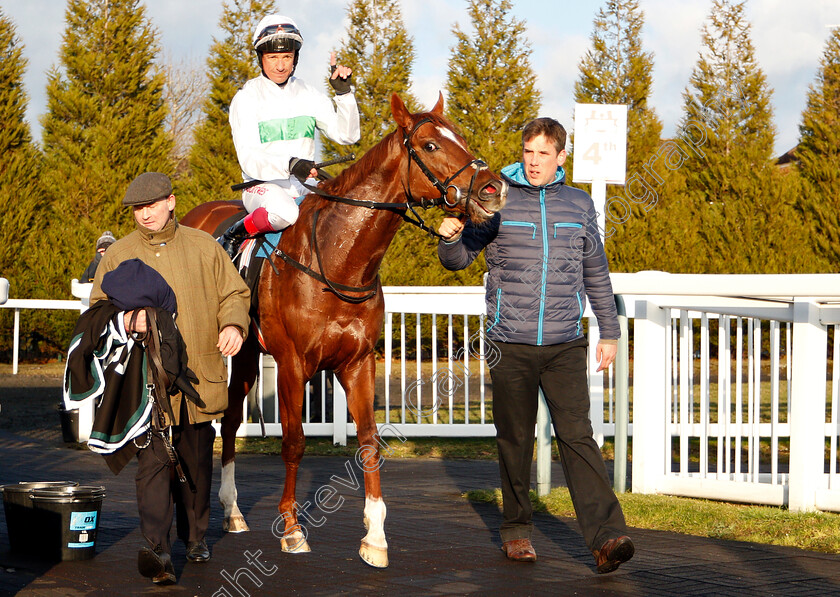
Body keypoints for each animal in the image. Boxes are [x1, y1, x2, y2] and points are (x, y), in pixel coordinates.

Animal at [180, 91, 506, 564]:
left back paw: (234, 511)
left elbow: (368, 442)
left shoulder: (358, 363)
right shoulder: (293, 364)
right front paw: (293, 528)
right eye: (429, 145)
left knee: (230, 421)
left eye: (461, 138)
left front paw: (375, 536)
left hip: (244, 351)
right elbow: (294, 443)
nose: (492, 188)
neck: (336, 259)